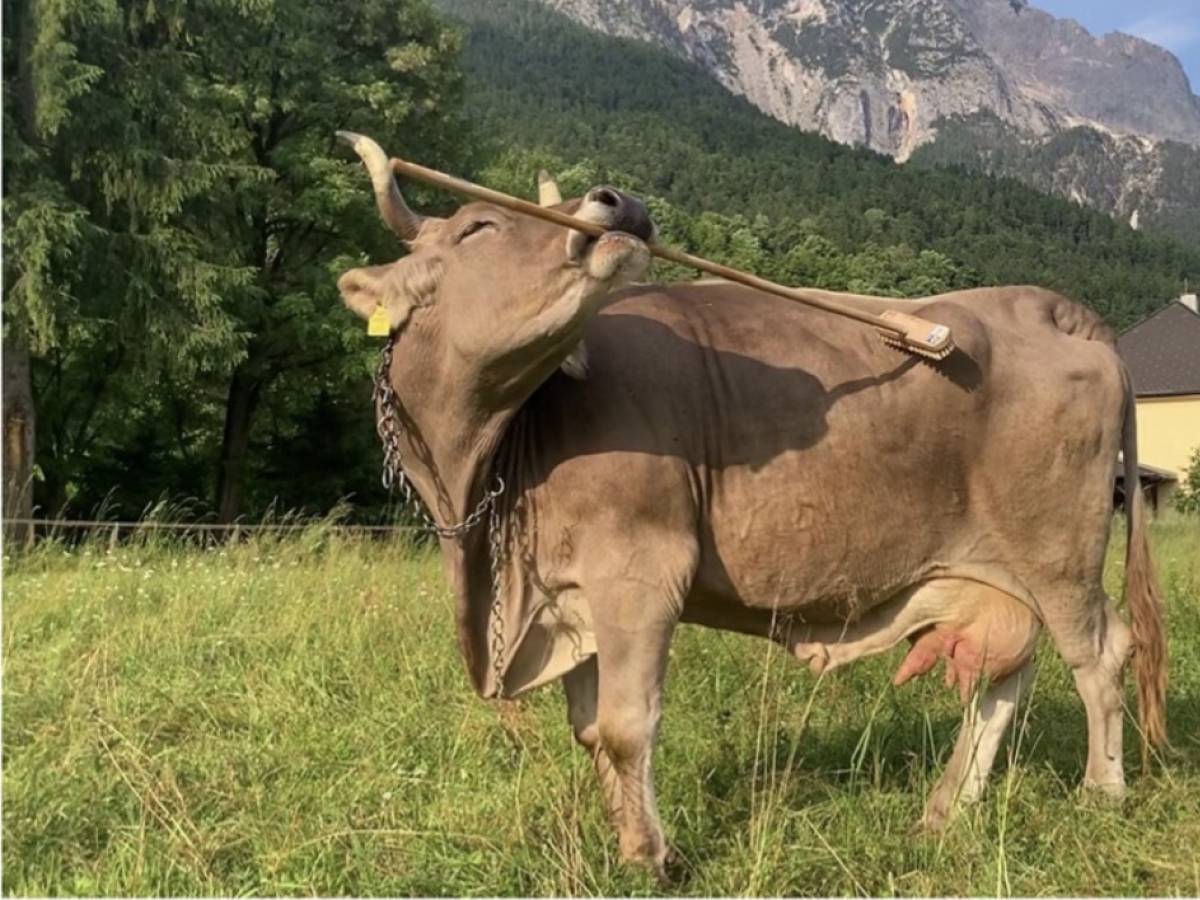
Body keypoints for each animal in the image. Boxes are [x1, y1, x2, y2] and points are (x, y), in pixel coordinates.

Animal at [335, 133, 1167, 882]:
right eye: (478, 227)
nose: (619, 201)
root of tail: (1044, 305)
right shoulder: (569, 596)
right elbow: (590, 730)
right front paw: (628, 841)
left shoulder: (640, 574)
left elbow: (627, 726)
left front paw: (651, 859)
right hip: (999, 570)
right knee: (1007, 674)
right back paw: (945, 810)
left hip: (1058, 551)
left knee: (1099, 654)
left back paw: (1101, 792)